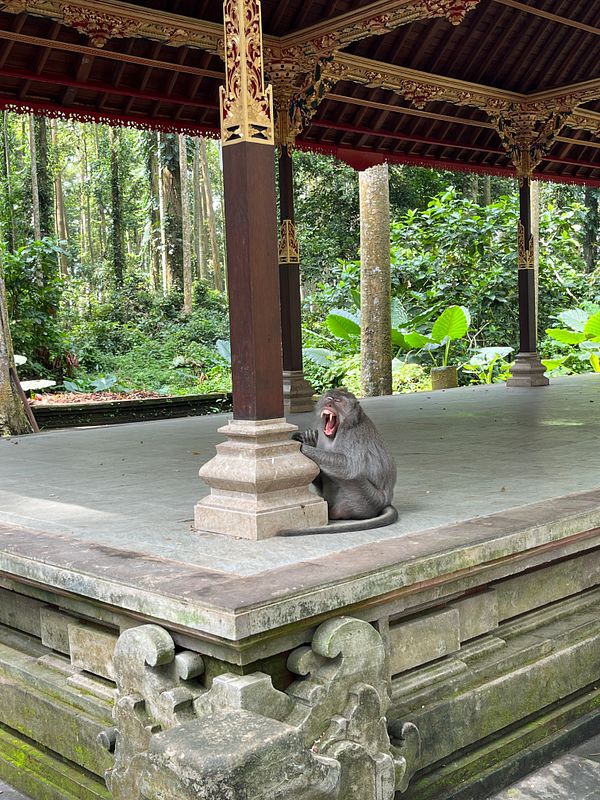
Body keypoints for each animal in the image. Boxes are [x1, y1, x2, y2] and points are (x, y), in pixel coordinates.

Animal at [280, 389, 397, 536]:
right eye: (329, 398)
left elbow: (349, 466)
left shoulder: (351, 434)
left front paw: (301, 445)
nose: (329, 404)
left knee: (352, 476)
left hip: (367, 499)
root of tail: (385, 502)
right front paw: (308, 440)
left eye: (338, 401)